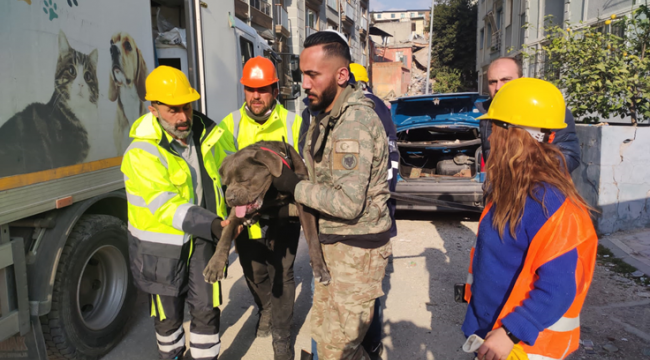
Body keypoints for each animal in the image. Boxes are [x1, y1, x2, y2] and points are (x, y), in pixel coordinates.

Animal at [202, 141, 332, 286]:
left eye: (243, 180)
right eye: (226, 183)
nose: (228, 198)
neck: (271, 192)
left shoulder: (301, 198)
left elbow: (312, 236)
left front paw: (320, 268)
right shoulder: (236, 212)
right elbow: (226, 234)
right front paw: (215, 265)